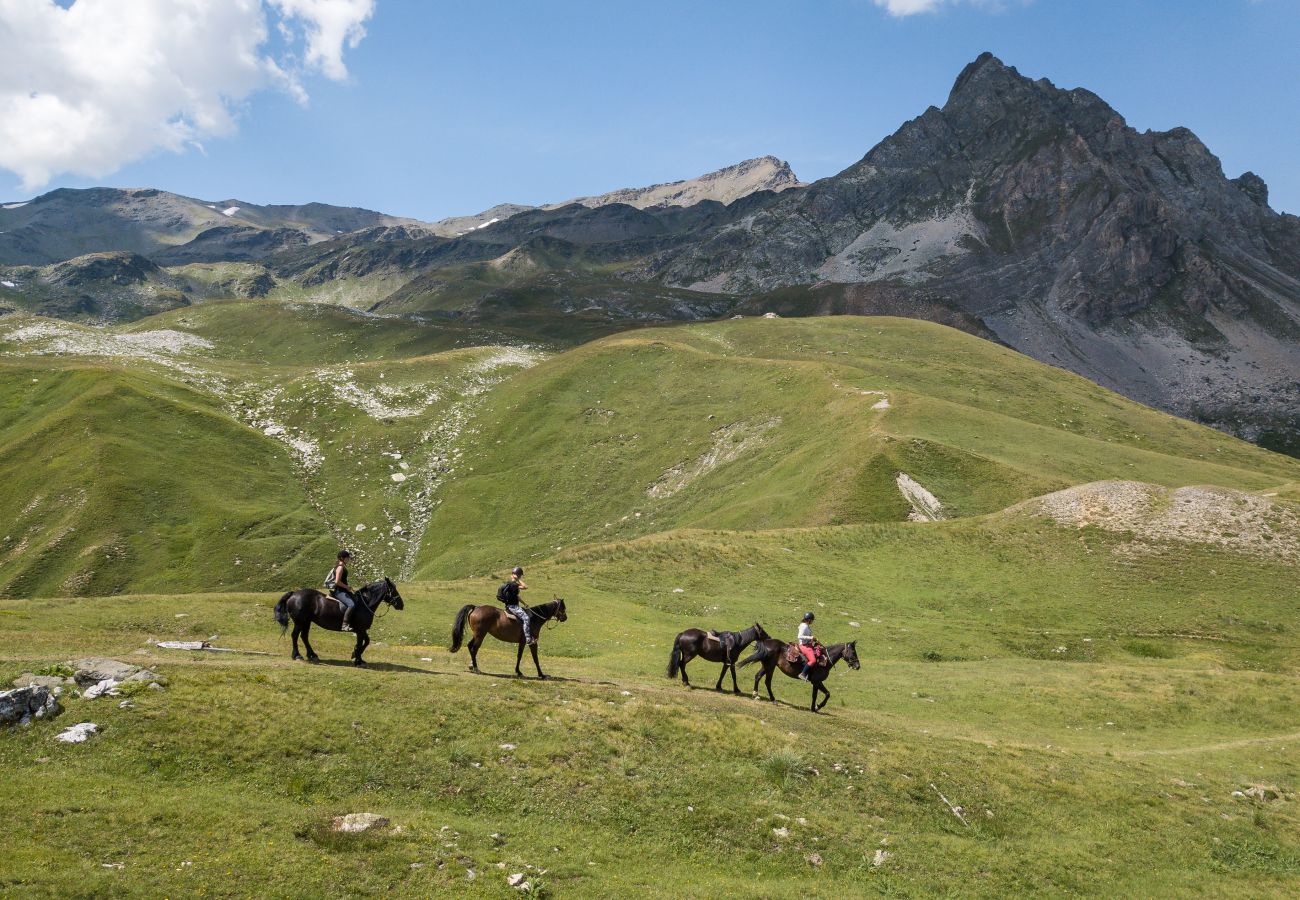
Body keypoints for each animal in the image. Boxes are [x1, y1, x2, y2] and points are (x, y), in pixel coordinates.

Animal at [270, 580, 400, 663]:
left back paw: (313, 655)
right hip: (300, 621)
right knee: (295, 636)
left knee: (304, 636)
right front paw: (357, 659)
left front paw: (356, 656)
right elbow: (361, 643)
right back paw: (297, 655)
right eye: (393, 590)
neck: (365, 603)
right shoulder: (360, 629)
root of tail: (294, 594)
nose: (401, 605)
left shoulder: (361, 629)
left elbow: (366, 642)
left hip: (307, 621)